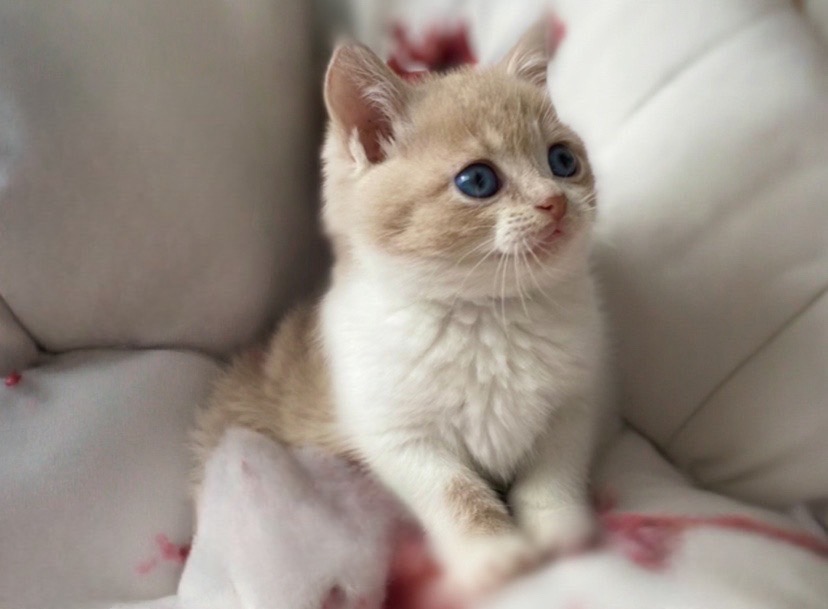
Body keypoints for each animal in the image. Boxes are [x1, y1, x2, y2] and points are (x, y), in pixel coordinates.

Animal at [192, 20, 611, 595]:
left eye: (562, 160)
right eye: (477, 180)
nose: (556, 202)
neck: (488, 314)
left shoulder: (574, 402)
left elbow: (553, 472)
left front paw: (560, 530)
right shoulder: (394, 433)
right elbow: (454, 491)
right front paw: (492, 555)